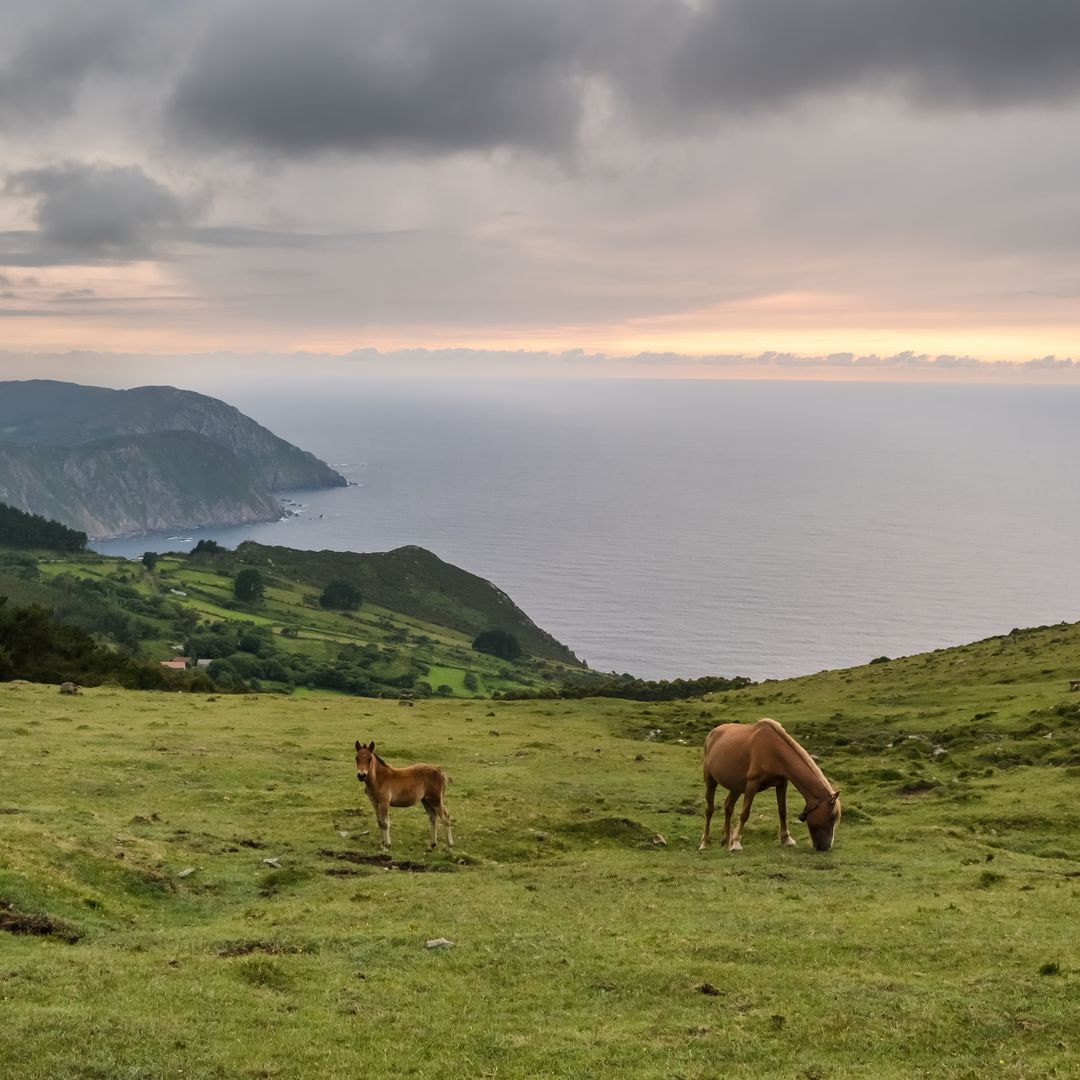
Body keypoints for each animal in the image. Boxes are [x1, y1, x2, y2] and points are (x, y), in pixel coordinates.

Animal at [698, 718, 841, 853]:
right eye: (830, 818)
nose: (825, 847)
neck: (773, 750)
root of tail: (712, 734)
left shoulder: (782, 783)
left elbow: (782, 811)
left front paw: (787, 839)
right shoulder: (752, 784)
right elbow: (745, 813)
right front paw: (737, 843)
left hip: (736, 786)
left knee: (728, 807)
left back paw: (726, 841)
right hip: (710, 779)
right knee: (709, 810)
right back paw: (704, 843)